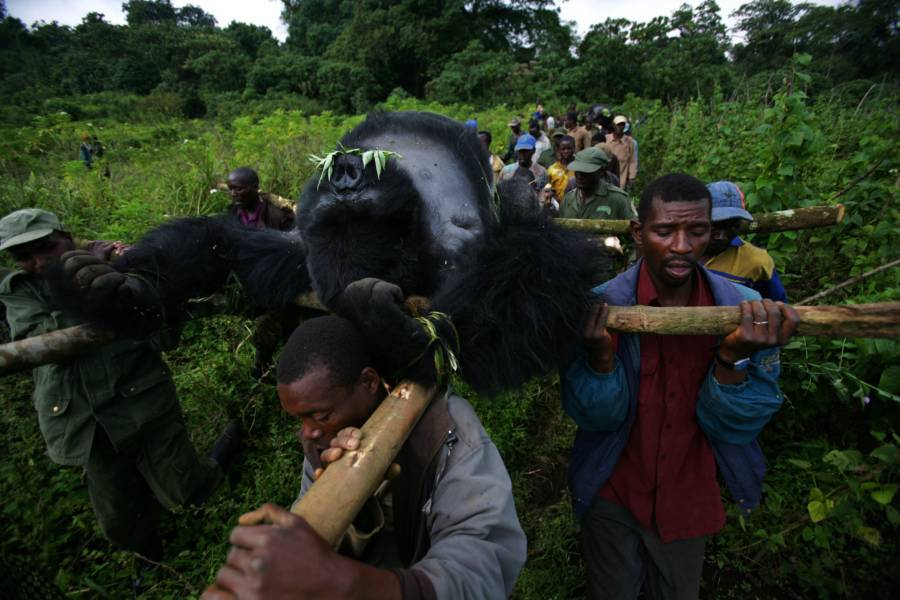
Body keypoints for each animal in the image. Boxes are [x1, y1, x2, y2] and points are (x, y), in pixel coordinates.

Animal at [56, 111, 604, 394]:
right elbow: (229, 248)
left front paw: (406, 337)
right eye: (339, 213)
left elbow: (528, 275)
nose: (343, 170)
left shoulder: (459, 235)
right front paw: (124, 292)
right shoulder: (300, 238)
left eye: (365, 209)